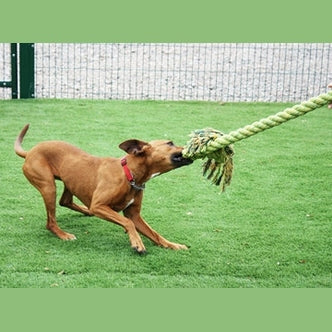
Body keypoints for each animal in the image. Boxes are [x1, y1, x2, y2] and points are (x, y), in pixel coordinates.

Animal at [14, 125, 192, 254]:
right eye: (170, 143)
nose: (189, 145)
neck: (129, 174)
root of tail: (30, 152)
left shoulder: (134, 214)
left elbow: (154, 233)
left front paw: (172, 245)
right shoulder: (99, 206)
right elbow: (127, 222)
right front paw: (137, 243)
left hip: (70, 181)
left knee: (65, 201)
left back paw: (85, 211)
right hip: (48, 186)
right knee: (51, 221)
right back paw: (63, 234)